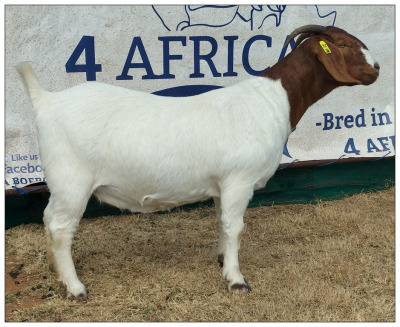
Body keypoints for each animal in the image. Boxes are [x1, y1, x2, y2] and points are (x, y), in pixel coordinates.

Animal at [17, 25, 380, 300]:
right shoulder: (239, 181)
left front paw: (222, 260)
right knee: (60, 227)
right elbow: (235, 226)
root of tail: (45, 100)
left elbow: (222, 221)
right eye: (343, 44)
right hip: (71, 181)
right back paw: (75, 288)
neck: (273, 100)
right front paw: (236, 280)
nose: (377, 68)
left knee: (51, 223)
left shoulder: (222, 184)